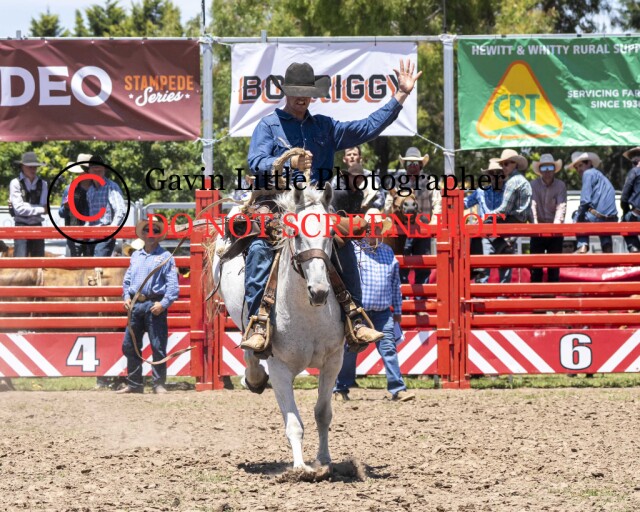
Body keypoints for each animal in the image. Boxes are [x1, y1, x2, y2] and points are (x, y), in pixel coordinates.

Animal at [213, 184, 344, 471]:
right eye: (296, 233)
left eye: (331, 233)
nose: (319, 291)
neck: (308, 315)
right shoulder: (279, 366)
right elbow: (294, 424)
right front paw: (300, 468)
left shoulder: (333, 361)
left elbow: (323, 414)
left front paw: (324, 461)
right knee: (249, 350)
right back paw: (253, 376)